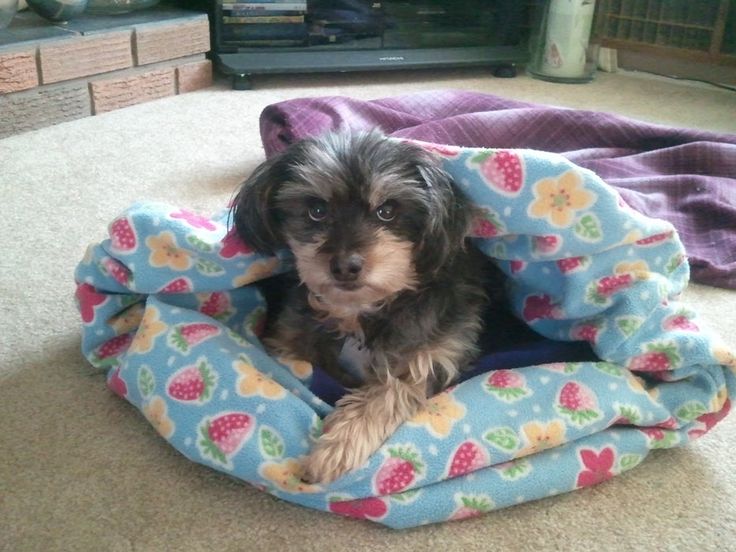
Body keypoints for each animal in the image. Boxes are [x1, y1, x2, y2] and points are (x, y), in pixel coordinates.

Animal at [233, 129, 492, 484]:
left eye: (387, 210)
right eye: (317, 210)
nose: (345, 266)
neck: (360, 312)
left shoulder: (431, 355)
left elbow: (387, 395)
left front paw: (336, 448)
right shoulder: (289, 337)